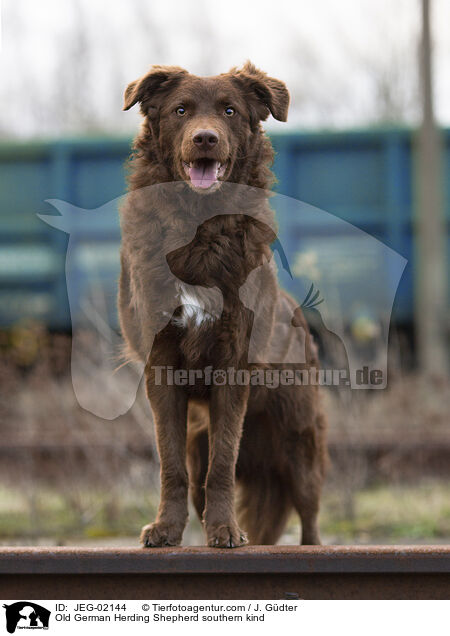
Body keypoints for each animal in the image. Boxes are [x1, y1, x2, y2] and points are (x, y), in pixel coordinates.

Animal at [118, 62, 326, 548]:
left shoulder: (234, 361)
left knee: (309, 511)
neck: (200, 228)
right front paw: (166, 529)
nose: (205, 138)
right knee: (196, 479)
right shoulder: (162, 366)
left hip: (299, 441)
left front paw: (226, 531)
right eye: (180, 110)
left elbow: (224, 462)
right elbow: (171, 464)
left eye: (230, 111)